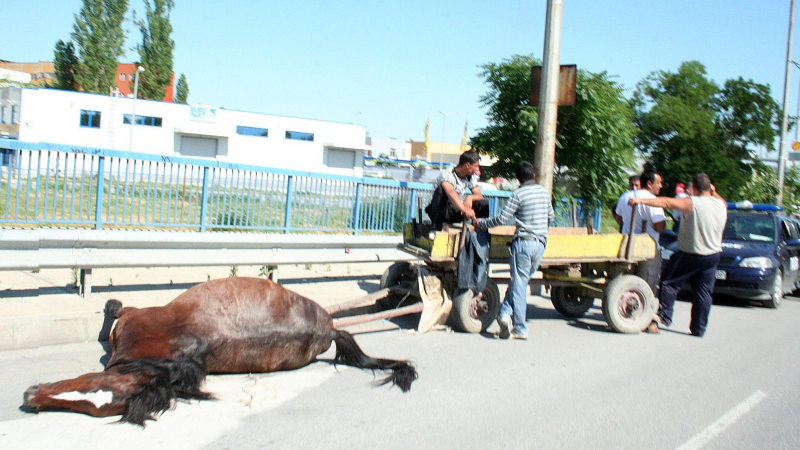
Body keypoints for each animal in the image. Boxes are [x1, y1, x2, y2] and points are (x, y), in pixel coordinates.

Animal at [21, 278, 416, 426]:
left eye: (93, 390)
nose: (30, 396)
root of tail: (328, 328)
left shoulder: (133, 317)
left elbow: (115, 311)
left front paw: (108, 306)